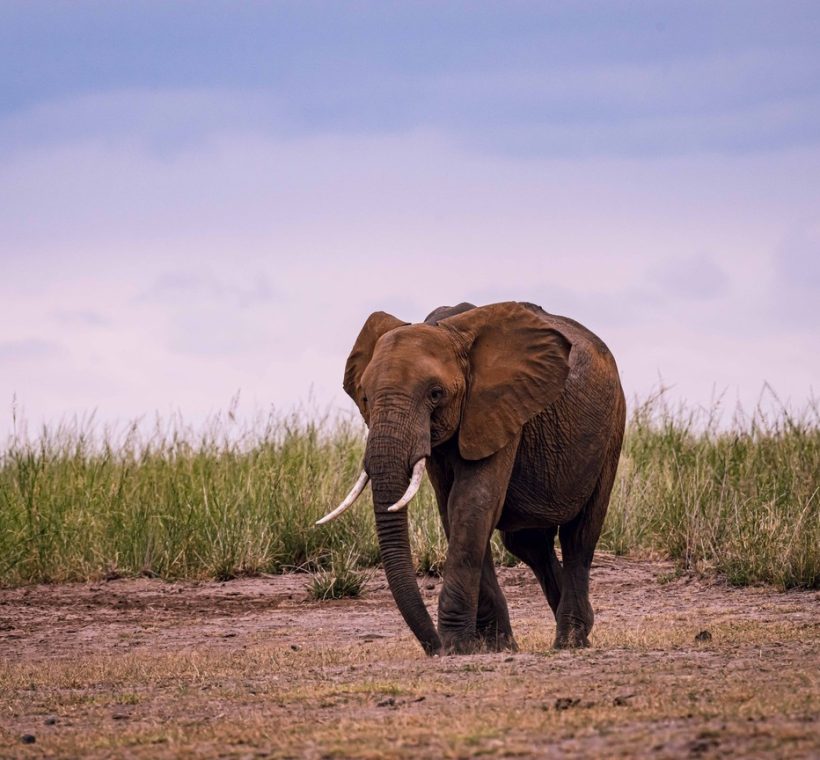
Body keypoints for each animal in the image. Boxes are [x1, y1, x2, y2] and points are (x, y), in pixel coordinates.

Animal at [317, 301, 626, 656]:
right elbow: (453, 510)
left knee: (579, 535)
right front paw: (495, 646)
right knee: (529, 544)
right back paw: (583, 627)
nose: (434, 649)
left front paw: (457, 645)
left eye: (435, 394)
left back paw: (570, 641)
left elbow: (472, 503)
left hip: (613, 426)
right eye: (365, 397)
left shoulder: (499, 405)